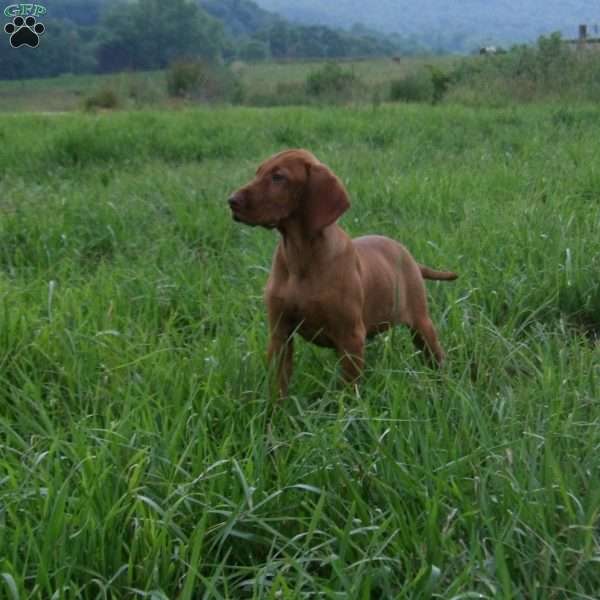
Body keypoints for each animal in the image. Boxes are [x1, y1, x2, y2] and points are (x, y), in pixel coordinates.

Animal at [227, 149, 458, 394]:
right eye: (258, 172)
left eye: (278, 177)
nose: (231, 201)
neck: (300, 257)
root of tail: (408, 256)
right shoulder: (280, 334)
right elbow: (278, 386)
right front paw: (275, 406)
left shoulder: (351, 337)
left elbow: (348, 391)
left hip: (421, 325)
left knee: (437, 360)